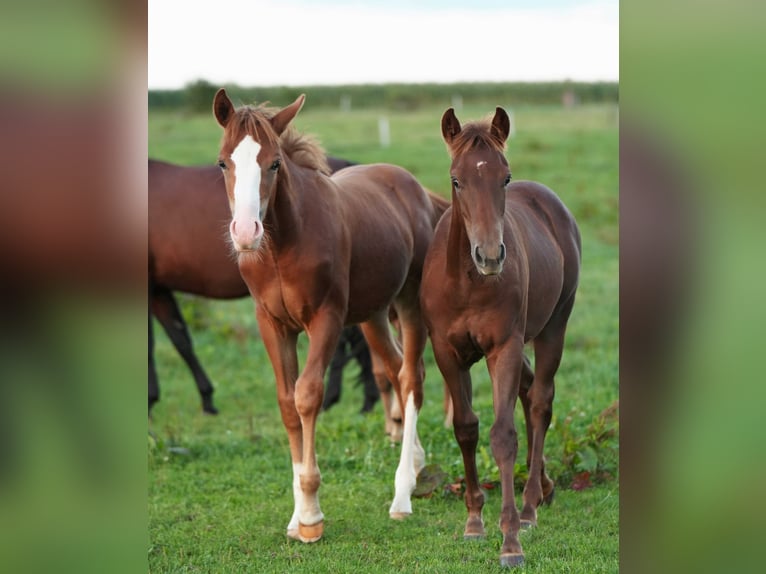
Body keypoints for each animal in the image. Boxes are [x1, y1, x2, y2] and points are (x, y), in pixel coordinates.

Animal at [213, 90, 448, 544]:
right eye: (222, 162)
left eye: (274, 163)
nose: (246, 233)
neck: (284, 245)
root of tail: (420, 191)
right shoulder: (272, 325)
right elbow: (287, 403)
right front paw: (295, 517)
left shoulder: (326, 319)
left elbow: (308, 395)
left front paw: (310, 516)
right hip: (373, 314)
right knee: (395, 369)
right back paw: (415, 463)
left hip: (409, 302)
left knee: (412, 377)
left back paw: (402, 494)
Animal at [420, 107, 584, 568]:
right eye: (456, 180)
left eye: (505, 177)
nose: (490, 256)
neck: (467, 283)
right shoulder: (446, 353)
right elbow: (465, 428)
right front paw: (474, 521)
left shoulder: (504, 348)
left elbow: (503, 435)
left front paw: (510, 540)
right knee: (529, 394)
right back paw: (543, 487)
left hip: (553, 327)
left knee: (541, 402)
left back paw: (529, 506)